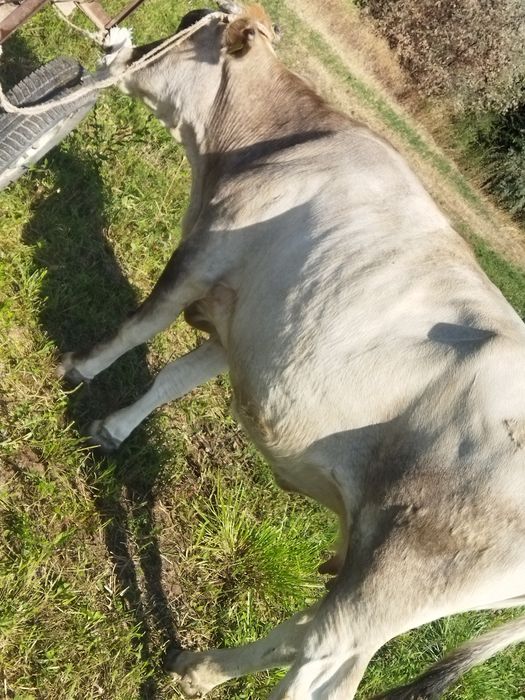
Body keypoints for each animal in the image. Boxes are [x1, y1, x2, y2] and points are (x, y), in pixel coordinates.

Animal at [57, 3, 525, 698]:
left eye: (189, 22)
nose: (121, 43)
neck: (271, 142)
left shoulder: (205, 256)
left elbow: (137, 328)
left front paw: (77, 370)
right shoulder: (248, 319)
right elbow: (175, 377)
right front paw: (112, 429)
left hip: (402, 572)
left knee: (328, 656)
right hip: (377, 565)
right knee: (310, 633)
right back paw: (199, 667)